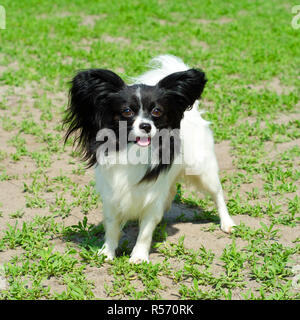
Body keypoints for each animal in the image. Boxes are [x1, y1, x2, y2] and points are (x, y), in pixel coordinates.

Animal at [63, 55, 237, 264]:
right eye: (127, 111)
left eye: (156, 111)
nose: (146, 126)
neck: (133, 150)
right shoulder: (112, 194)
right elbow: (111, 226)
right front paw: (107, 252)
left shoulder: (152, 196)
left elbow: (145, 231)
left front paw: (138, 256)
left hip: (203, 171)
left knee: (217, 194)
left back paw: (227, 223)